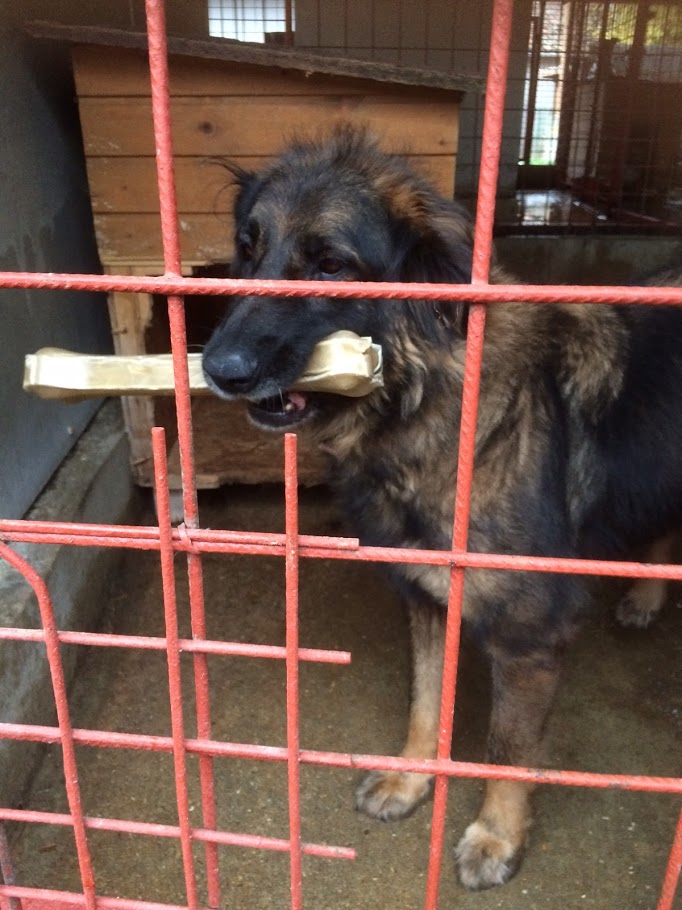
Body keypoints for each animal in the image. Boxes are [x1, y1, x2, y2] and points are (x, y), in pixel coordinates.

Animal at [202, 125, 682, 890]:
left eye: (332, 264)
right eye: (248, 249)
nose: (218, 369)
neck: (423, 410)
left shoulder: (529, 636)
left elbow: (509, 746)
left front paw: (495, 838)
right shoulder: (427, 598)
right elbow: (426, 703)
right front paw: (410, 779)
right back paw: (645, 594)